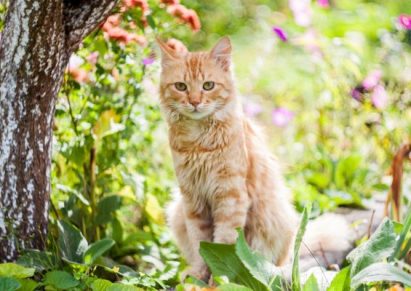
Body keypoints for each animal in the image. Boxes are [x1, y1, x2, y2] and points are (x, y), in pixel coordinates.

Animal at [159, 36, 300, 280]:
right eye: (181, 86)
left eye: (208, 85)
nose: (194, 102)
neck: (199, 142)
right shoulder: (192, 199)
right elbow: (200, 243)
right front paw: (199, 276)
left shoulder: (230, 197)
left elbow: (224, 243)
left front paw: (219, 280)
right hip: (177, 211)